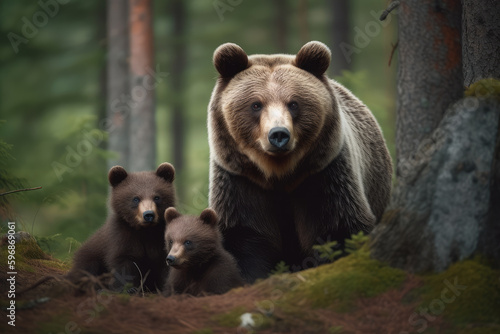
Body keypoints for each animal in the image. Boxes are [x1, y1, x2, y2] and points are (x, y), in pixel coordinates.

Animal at [209, 41, 392, 282]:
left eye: (293, 103)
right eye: (256, 104)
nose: (278, 134)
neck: (278, 173)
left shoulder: (324, 174)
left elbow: (338, 227)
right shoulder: (240, 179)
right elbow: (244, 236)